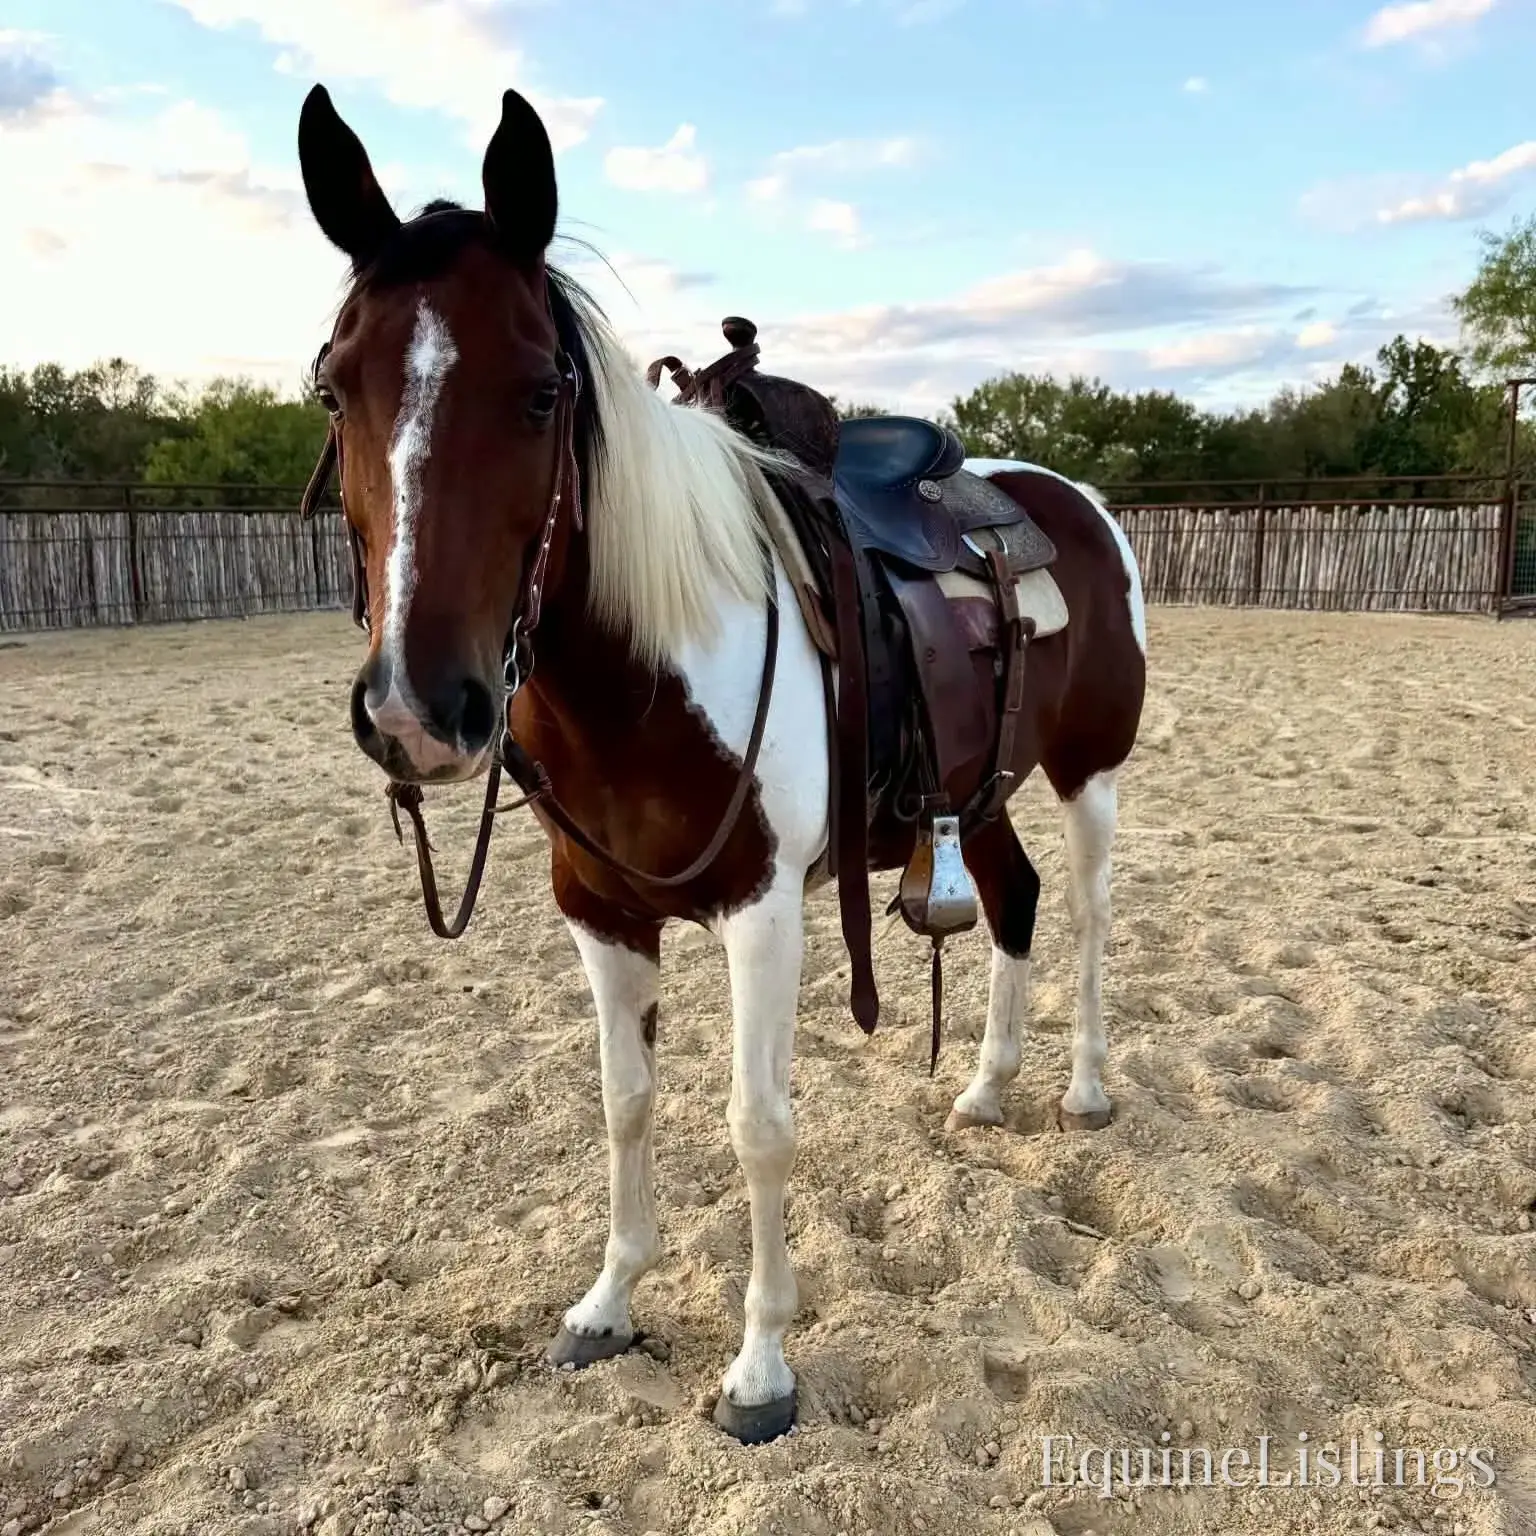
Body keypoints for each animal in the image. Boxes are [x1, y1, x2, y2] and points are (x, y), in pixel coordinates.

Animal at [294, 81, 1147, 1446]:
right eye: (333, 389)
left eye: (542, 392)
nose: (419, 708)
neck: (649, 666)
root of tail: (1067, 497)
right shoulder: (597, 914)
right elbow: (626, 1100)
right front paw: (607, 1304)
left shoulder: (765, 911)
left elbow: (758, 1127)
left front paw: (760, 1369)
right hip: (978, 797)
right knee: (1011, 905)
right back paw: (985, 1089)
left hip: (1091, 779)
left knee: (1087, 916)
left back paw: (1081, 1090)